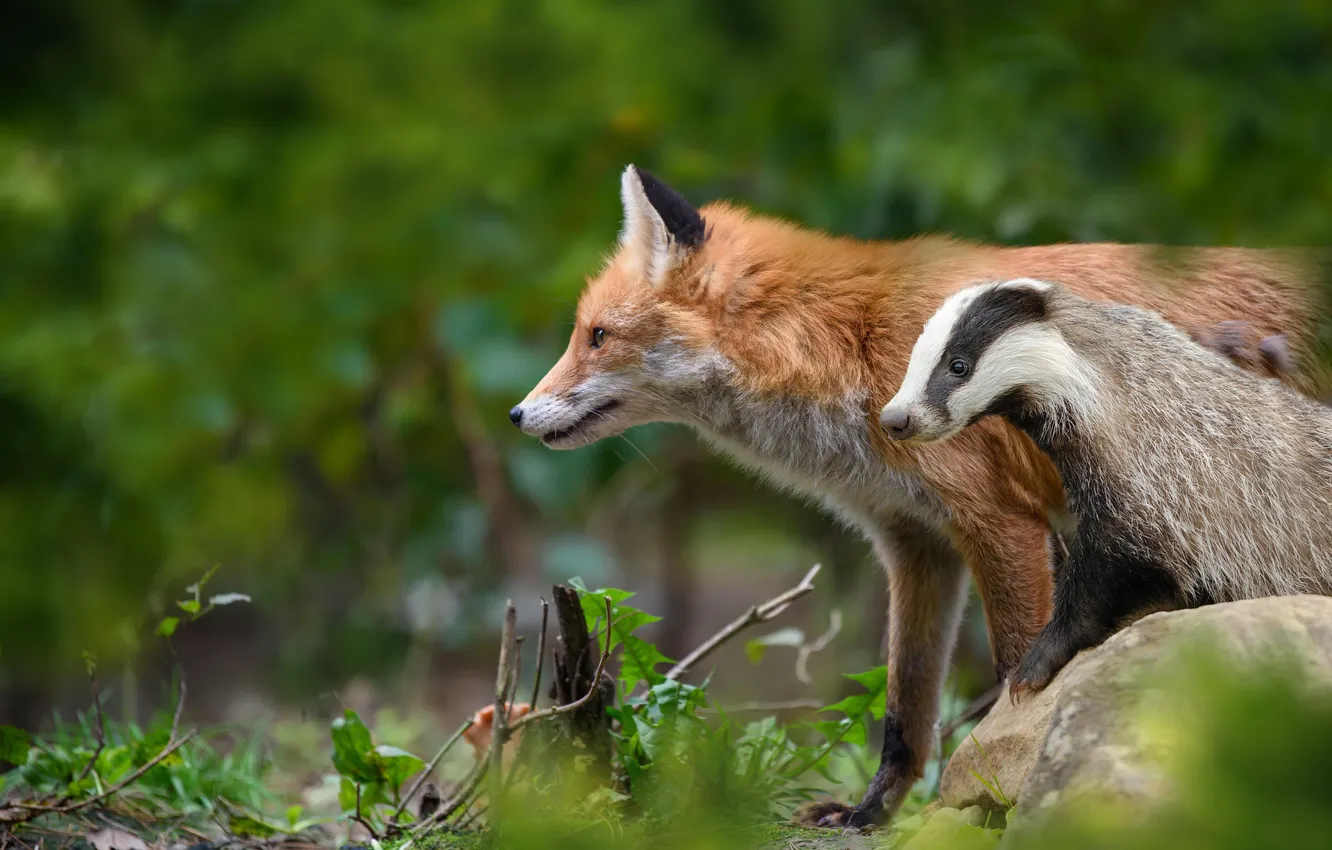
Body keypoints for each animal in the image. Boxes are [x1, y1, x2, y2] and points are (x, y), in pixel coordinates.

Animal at [510, 165, 1329, 828]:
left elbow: (1013, 671)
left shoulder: (1001, 522)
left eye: (596, 336)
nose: (517, 414)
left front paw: (992, 797)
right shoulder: (914, 542)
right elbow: (906, 710)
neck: (850, 345)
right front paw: (872, 814)